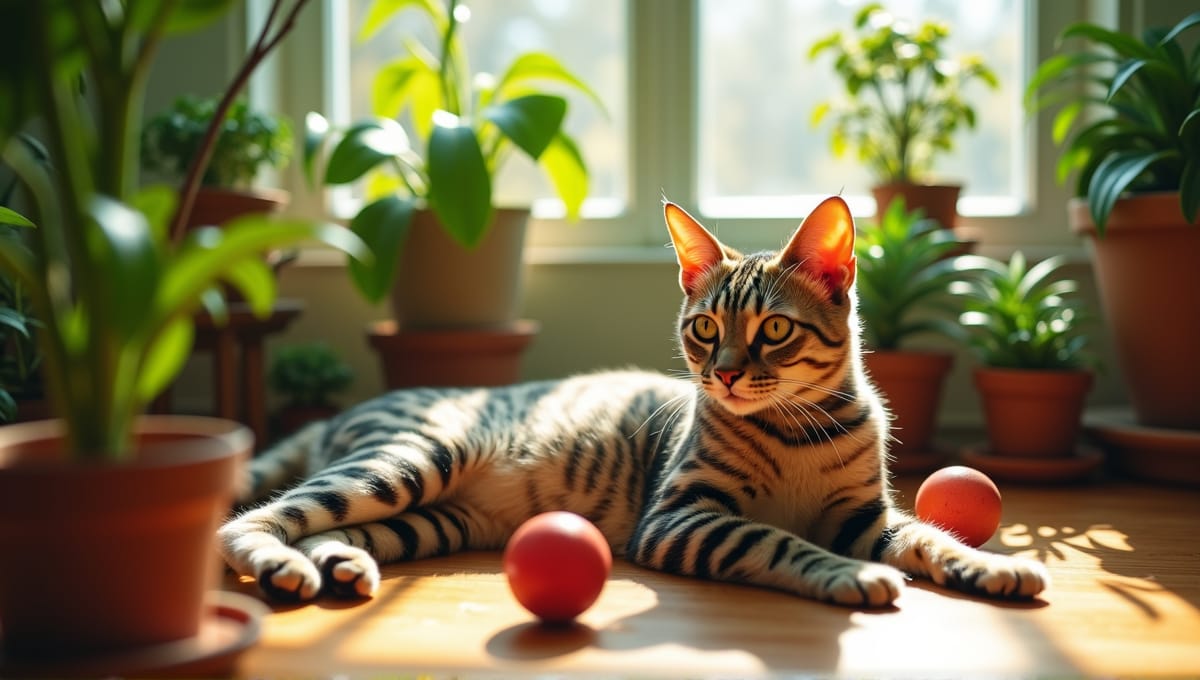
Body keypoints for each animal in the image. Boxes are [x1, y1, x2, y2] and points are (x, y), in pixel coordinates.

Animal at [218, 195, 1051, 606]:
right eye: (706, 328)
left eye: (774, 330)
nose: (722, 375)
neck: (798, 431)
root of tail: (338, 417)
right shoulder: (679, 517)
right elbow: (778, 541)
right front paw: (851, 576)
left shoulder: (862, 515)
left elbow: (932, 537)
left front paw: (989, 566)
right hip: (418, 457)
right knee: (254, 521)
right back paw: (279, 564)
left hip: (430, 518)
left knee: (330, 530)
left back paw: (338, 567)